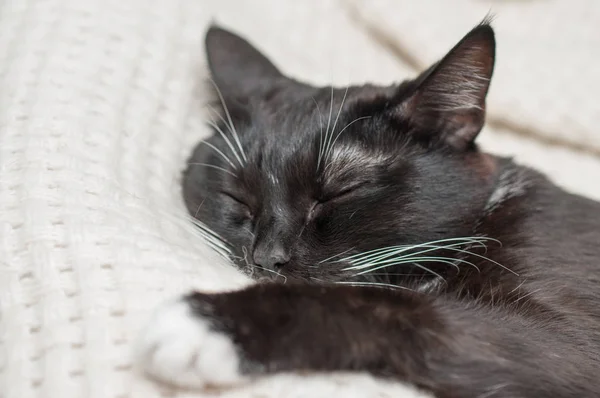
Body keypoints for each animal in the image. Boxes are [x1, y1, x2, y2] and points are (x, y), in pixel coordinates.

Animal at [136, 21, 600, 398]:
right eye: (236, 197)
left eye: (339, 192)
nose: (266, 257)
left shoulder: (567, 343)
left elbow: (395, 306)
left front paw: (210, 324)